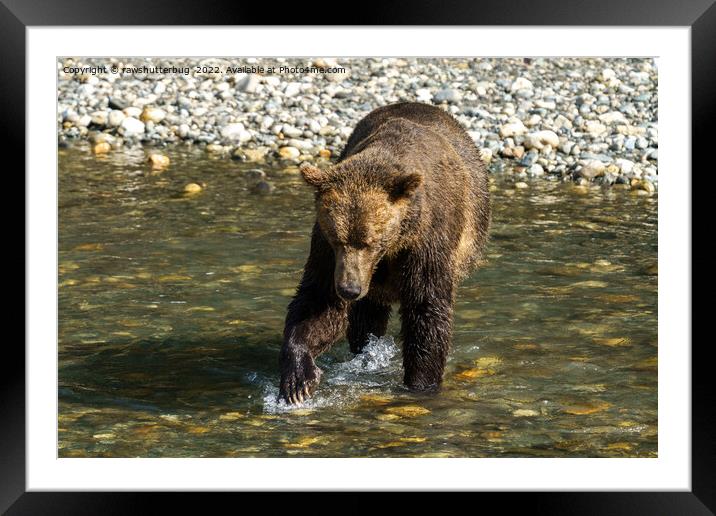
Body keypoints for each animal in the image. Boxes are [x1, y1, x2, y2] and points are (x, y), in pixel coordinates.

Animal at [280, 103, 492, 406]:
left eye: (369, 242)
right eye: (338, 240)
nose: (349, 289)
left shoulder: (427, 240)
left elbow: (426, 307)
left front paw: (420, 384)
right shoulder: (324, 248)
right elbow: (319, 301)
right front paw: (298, 379)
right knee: (365, 318)